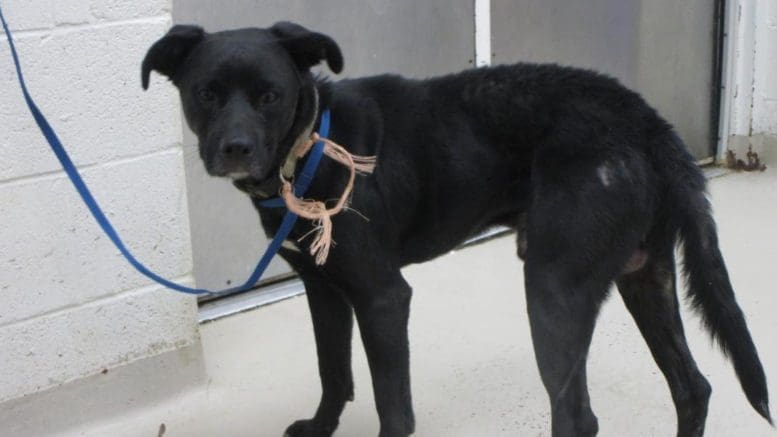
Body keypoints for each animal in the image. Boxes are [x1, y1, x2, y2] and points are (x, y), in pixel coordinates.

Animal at [141, 23, 768, 436]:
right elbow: (333, 371)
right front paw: (320, 429)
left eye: (270, 95)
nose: (235, 149)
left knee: (579, 417)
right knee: (692, 388)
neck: (312, 146)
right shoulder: (324, 289)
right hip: (645, 276)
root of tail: (649, 121)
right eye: (205, 94)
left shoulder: (383, 297)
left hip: (553, 291)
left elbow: (394, 408)